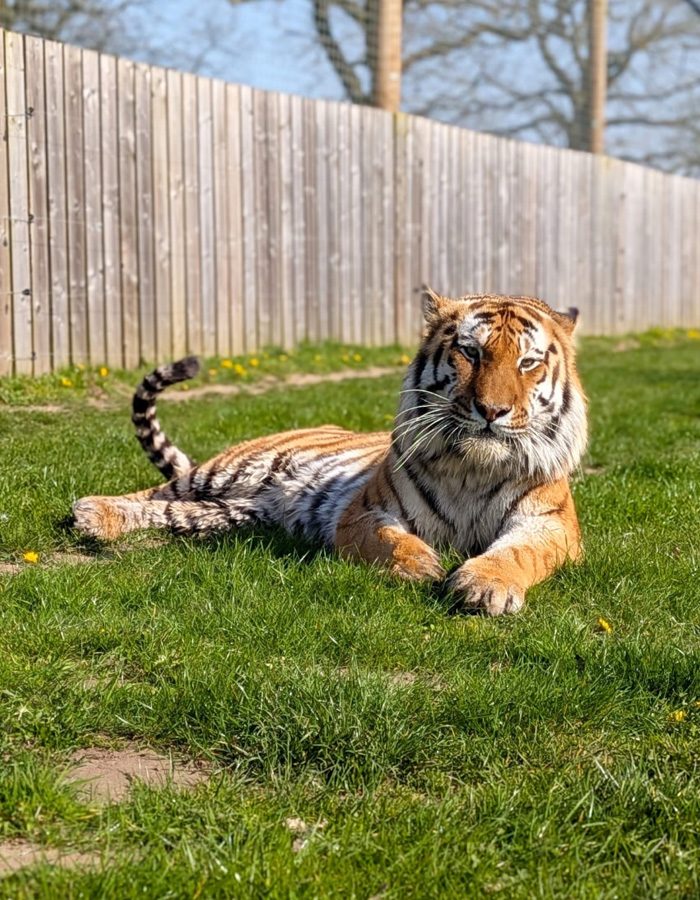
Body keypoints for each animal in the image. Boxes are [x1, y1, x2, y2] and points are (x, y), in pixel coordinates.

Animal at [72, 289, 587, 616]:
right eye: (471, 352)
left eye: (528, 362)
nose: (492, 410)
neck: (473, 468)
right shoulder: (364, 512)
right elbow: (390, 541)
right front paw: (421, 566)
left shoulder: (550, 525)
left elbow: (519, 553)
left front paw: (485, 584)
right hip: (229, 469)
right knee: (156, 492)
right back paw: (92, 512)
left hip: (230, 513)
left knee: (172, 511)